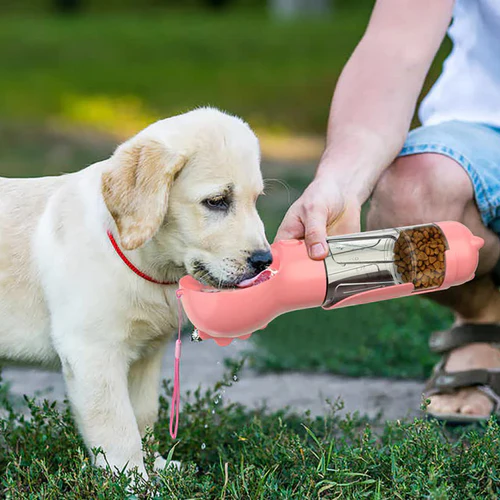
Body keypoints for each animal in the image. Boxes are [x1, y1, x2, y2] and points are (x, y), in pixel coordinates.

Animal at [0, 108, 270, 476]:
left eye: (256, 201)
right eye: (217, 202)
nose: (265, 261)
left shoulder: (146, 355)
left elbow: (143, 414)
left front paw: (157, 467)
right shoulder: (93, 352)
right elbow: (117, 425)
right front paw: (132, 479)